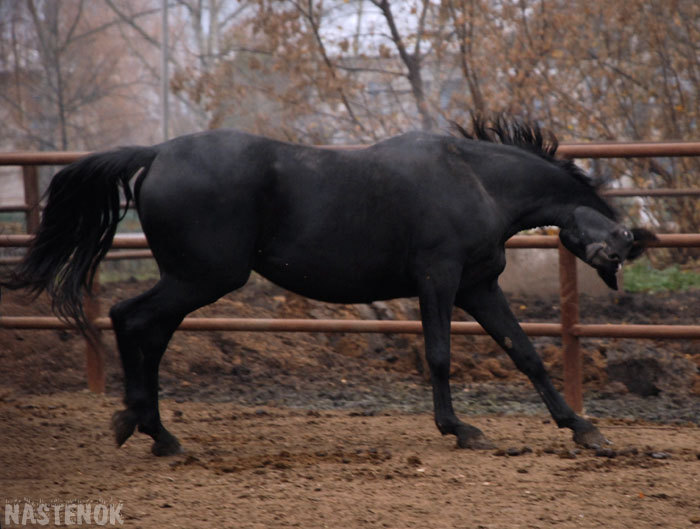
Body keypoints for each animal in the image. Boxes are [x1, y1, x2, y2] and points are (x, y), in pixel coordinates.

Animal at [1, 115, 656, 454]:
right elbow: (439, 356)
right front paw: (461, 430)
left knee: (145, 331)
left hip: (191, 280)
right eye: (621, 250)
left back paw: (157, 433)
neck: (474, 181)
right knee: (131, 320)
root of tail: (156, 153)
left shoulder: (478, 287)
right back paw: (144, 427)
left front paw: (585, 430)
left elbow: (526, 353)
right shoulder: (438, 280)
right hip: (200, 277)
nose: (611, 261)